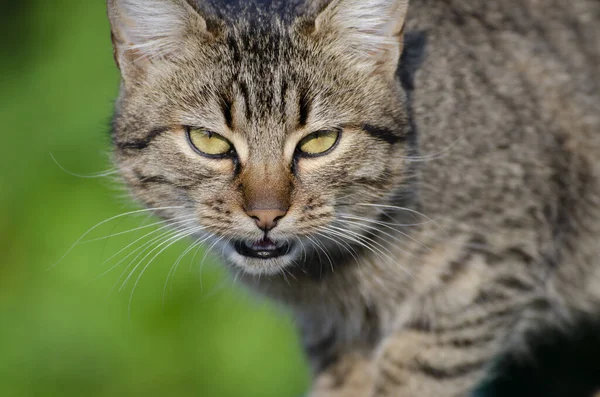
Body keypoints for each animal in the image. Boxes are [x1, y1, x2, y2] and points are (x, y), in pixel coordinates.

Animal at [105, 0, 600, 394]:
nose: (266, 215)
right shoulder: (333, 333)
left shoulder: (488, 270)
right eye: (208, 141)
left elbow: (415, 374)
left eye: (319, 142)